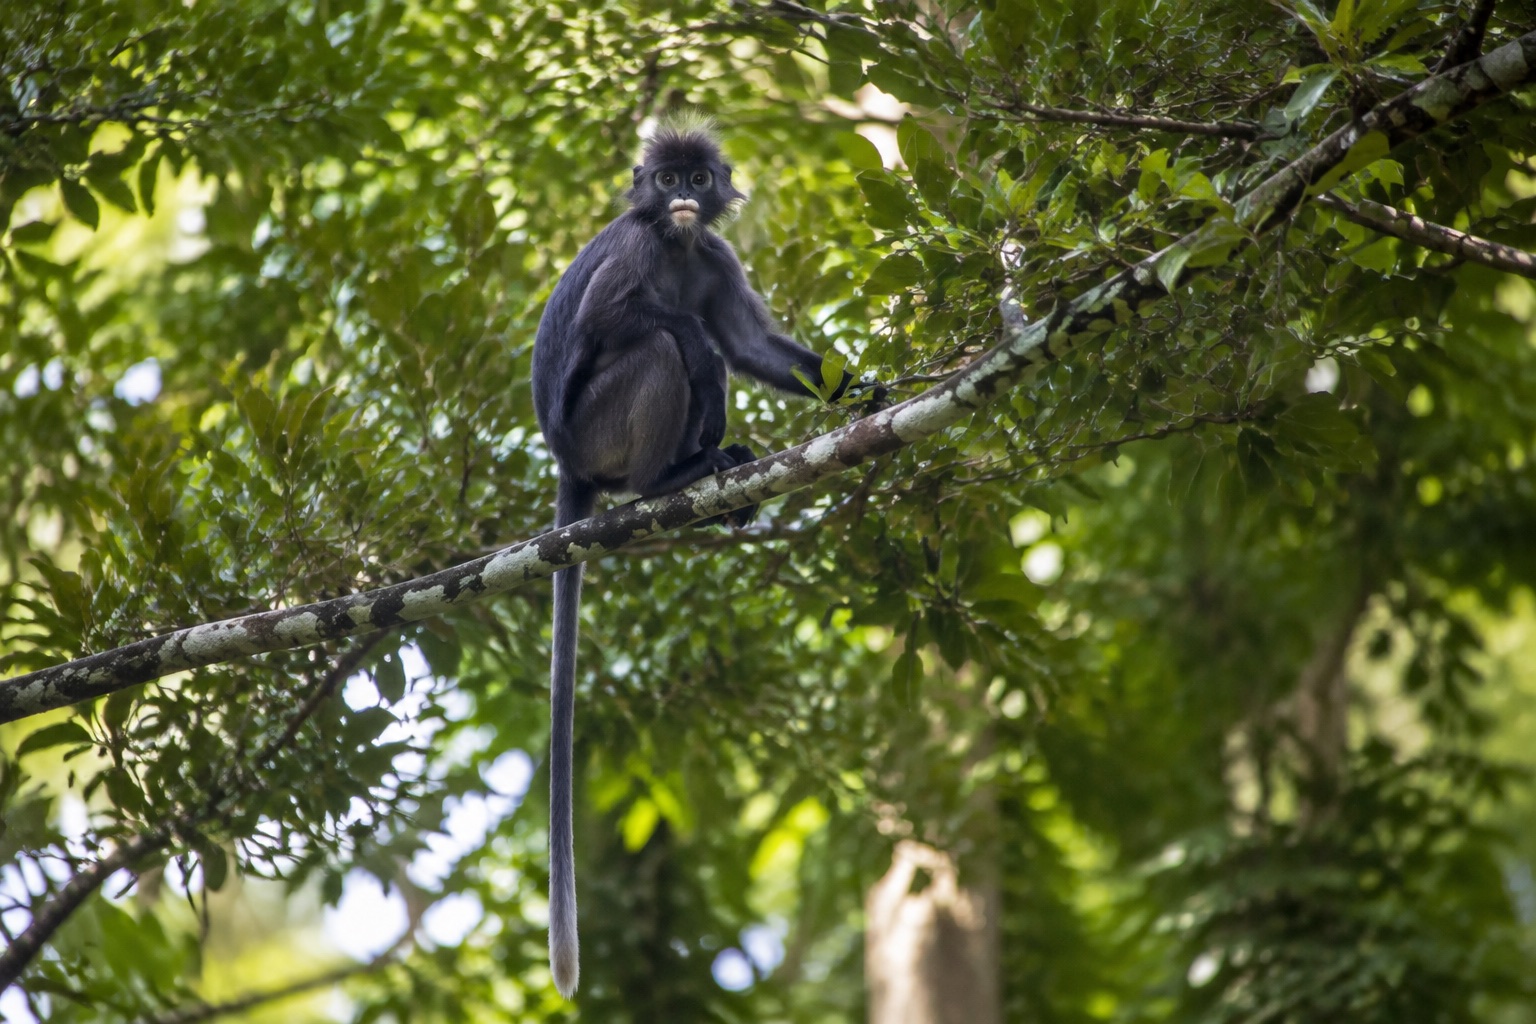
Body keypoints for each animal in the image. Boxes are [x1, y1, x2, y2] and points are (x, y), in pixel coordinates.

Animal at [529, 124, 850, 999]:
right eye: (666, 178)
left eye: (697, 181)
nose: (679, 196)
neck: (673, 243)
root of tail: (567, 461)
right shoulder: (641, 245)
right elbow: (648, 325)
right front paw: (700, 352)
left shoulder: (711, 253)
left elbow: (753, 347)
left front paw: (866, 393)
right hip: (599, 429)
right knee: (659, 348)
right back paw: (669, 476)